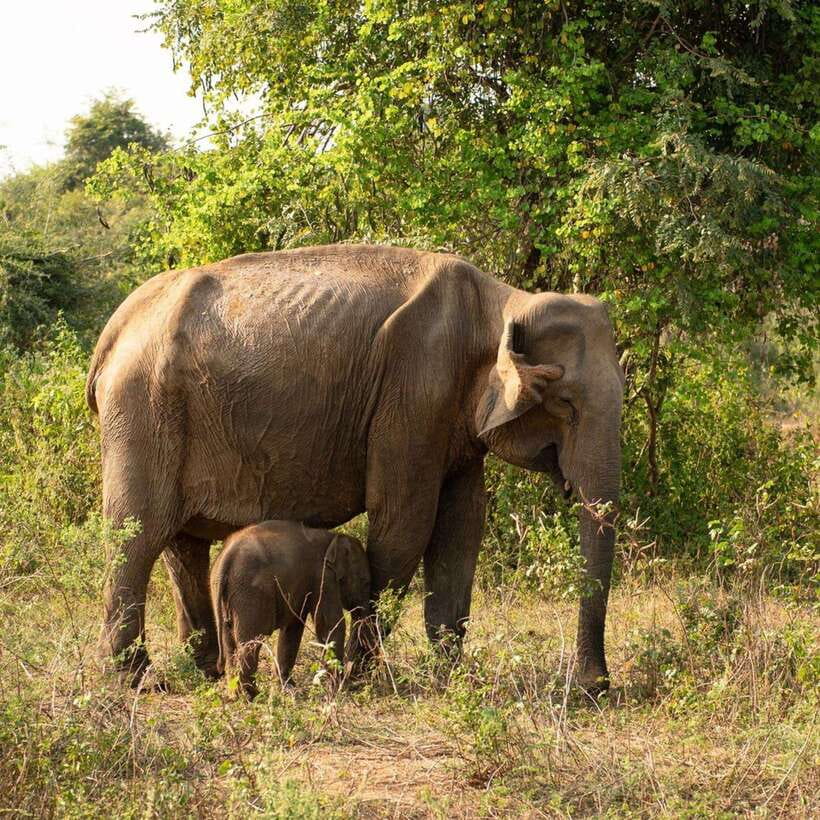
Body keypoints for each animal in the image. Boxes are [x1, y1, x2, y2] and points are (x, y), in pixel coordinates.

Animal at [210, 521, 369, 700]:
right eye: (365, 582)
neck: (332, 537)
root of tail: (227, 558)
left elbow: (293, 627)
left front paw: (289, 689)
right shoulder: (323, 577)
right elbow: (330, 625)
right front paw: (341, 688)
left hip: (224, 595)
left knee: (229, 643)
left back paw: (236, 696)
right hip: (250, 594)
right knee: (251, 643)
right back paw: (253, 696)